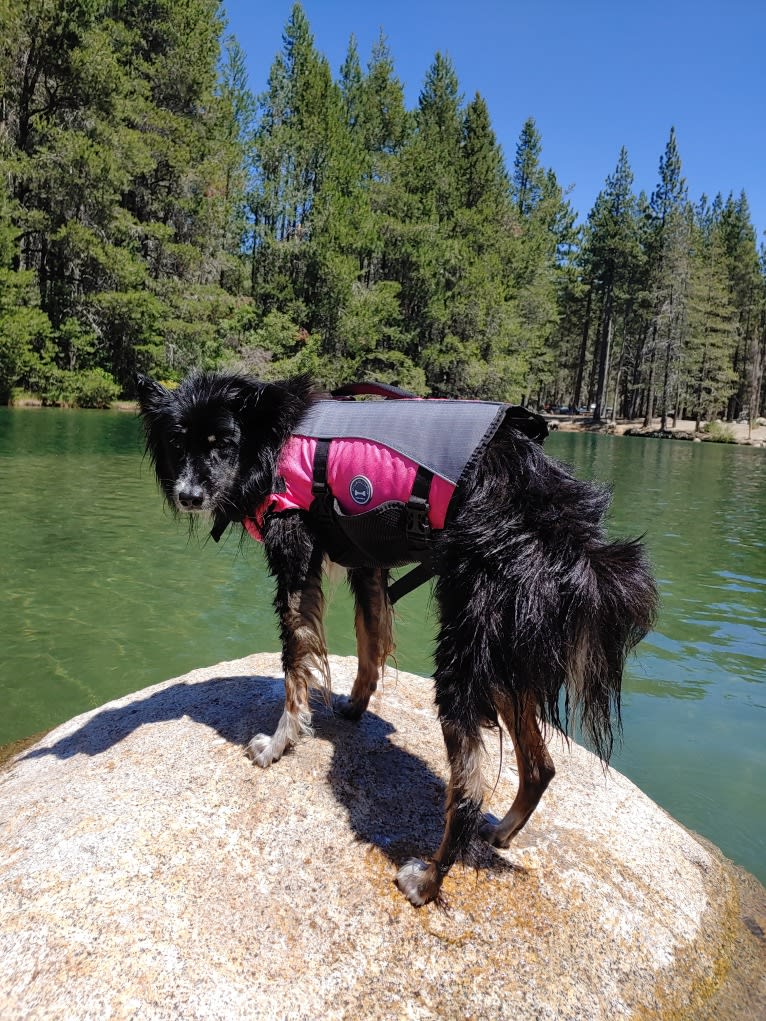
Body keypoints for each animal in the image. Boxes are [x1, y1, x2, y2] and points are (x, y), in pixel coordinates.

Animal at [137, 371, 661, 906]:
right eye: (177, 444)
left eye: (223, 443)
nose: (188, 495)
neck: (272, 440)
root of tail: (571, 535)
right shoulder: (366, 563)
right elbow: (369, 645)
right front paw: (353, 707)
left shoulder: (295, 561)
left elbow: (294, 669)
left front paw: (279, 744)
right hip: (505, 657)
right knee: (540, 766)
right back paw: (499, 833)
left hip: (467, 651)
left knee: (469, 791)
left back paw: (428, 881)